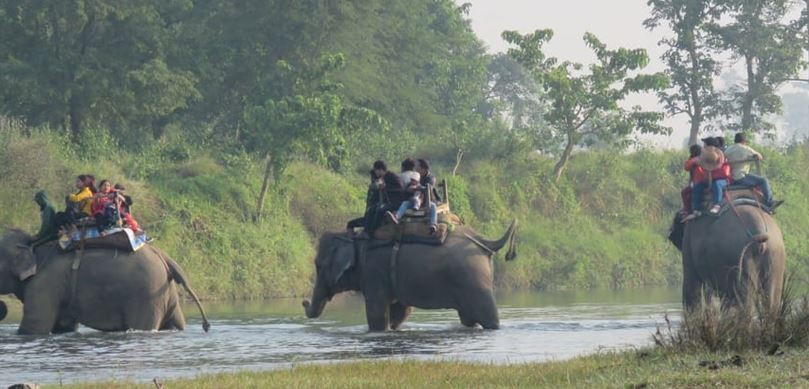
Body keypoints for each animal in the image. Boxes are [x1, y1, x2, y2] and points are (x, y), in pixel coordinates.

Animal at [0, 229, 211, 334]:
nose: (3, 307)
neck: (34, 245)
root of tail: (163, 256)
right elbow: (63, 327)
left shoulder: (44, 284)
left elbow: (34, 326)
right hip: (165, 293)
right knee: (175, 322)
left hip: (147, 295)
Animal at [300, 220, 516, 328]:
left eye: (318, 266)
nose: (303, 301)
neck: (354, 237)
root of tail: (485, 242)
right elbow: (400, 312)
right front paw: (393, 328)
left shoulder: (373, 272)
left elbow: (377, 315)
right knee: (468, 318)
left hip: (474, 280)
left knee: (487, 316)